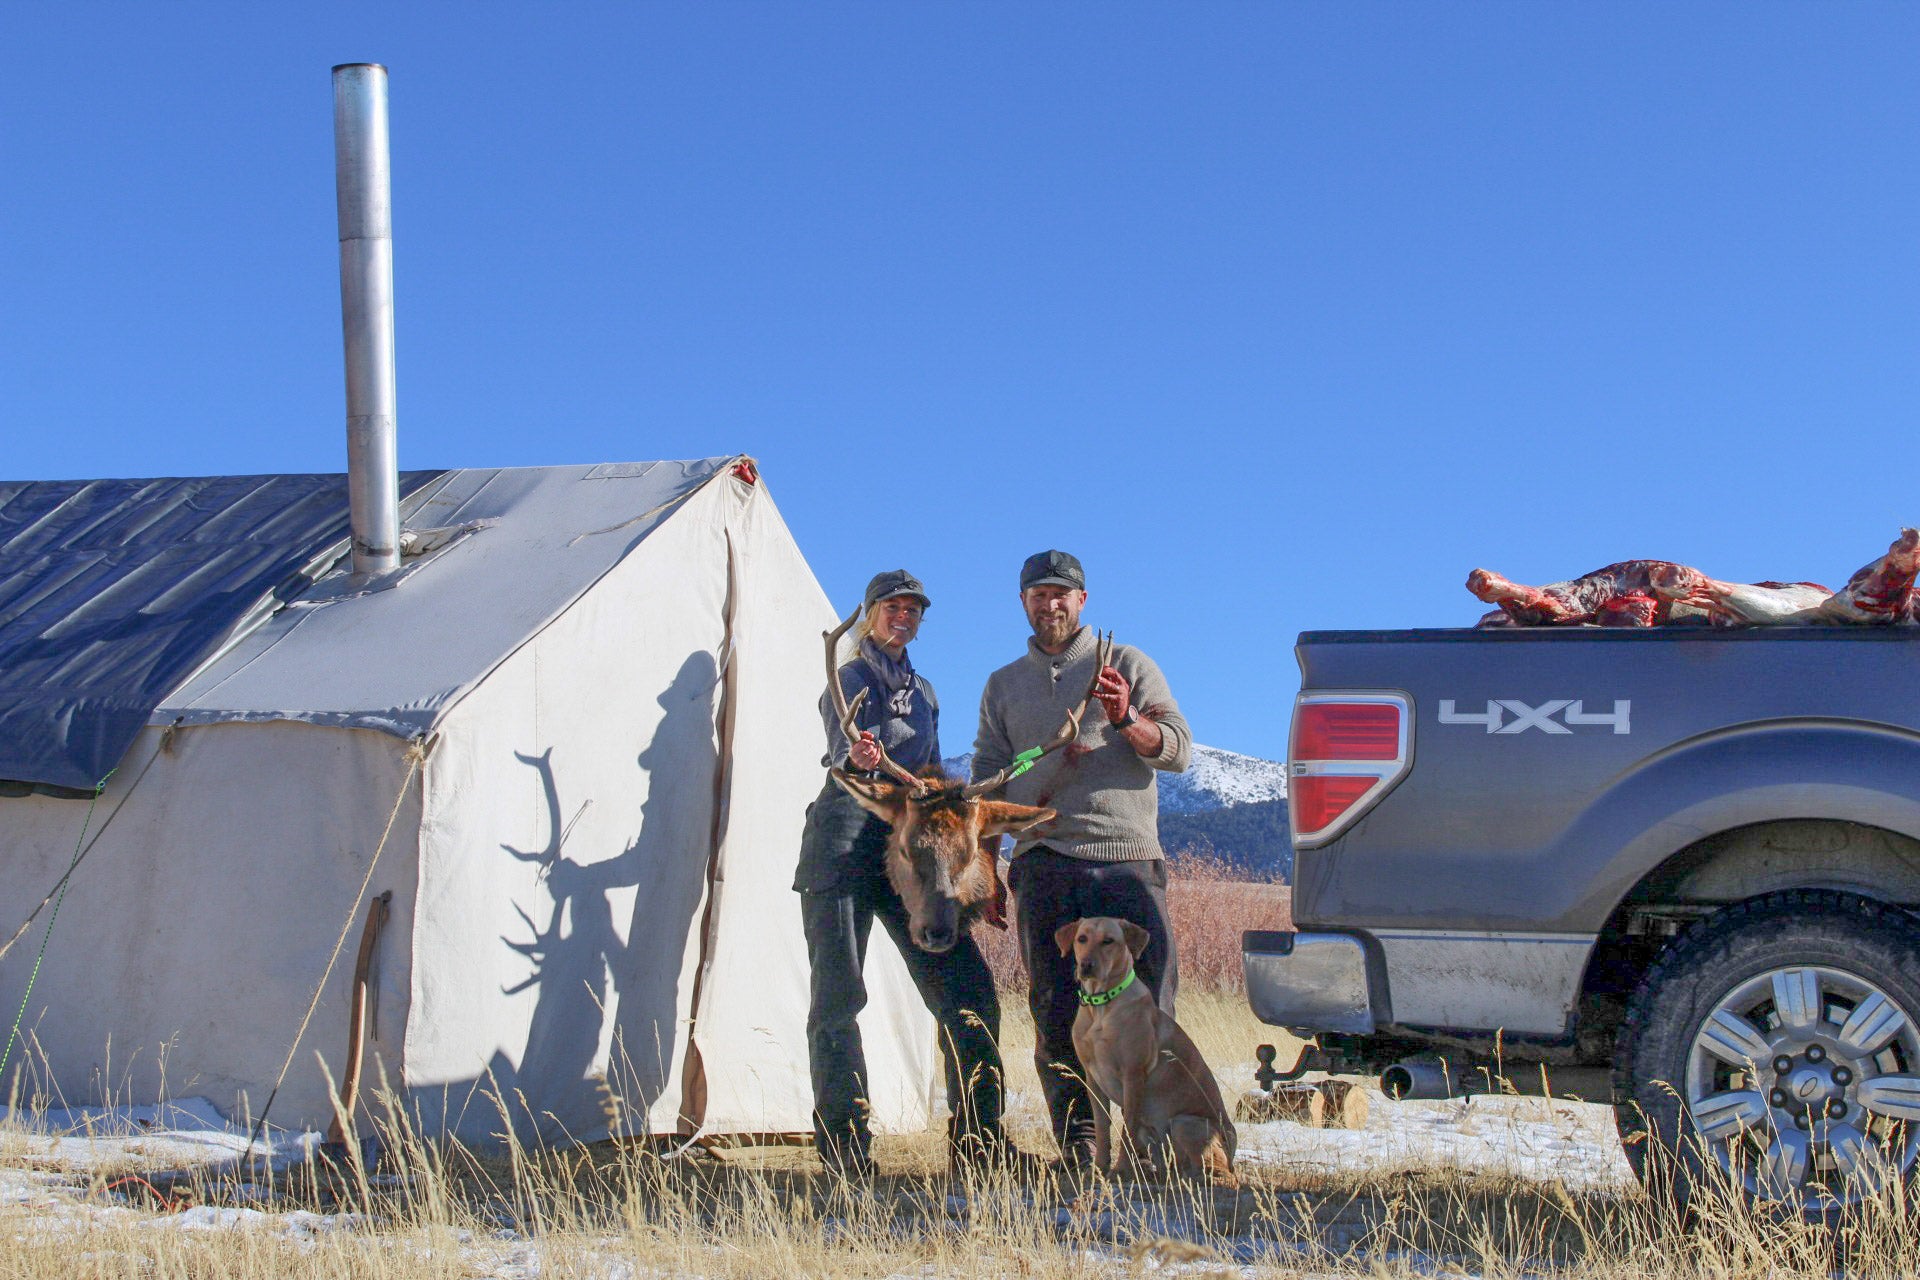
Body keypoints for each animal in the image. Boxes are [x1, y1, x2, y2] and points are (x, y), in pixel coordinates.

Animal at [1059, 917, 1236, 1189]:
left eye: (1108, 941)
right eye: (1082, 939)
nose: (1086, 965)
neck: (1101, 1007)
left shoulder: (1133, 1076)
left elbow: (1126, 1131)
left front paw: (1120, 1171)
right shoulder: (1093, 1079)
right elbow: (1102, 1129)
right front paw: (1098, 1169)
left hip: (1186, 1123)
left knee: (1219, 1173)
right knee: (1172, 1165)